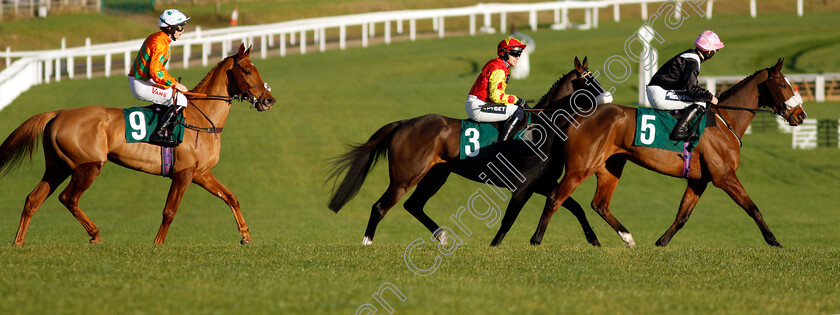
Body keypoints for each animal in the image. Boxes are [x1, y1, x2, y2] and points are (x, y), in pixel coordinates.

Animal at [0, 43, 276, 247]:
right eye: (247, 71)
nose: (268, 100)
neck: (201, 119)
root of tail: (57, 113)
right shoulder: (184, 173)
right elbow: (169, 211)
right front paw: (157, 245)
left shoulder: (201, 173)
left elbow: (231, 198)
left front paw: (246, 236)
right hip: (88, 166)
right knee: (68, 198)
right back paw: (95, 234)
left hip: (58, 167)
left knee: (33, 199)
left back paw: (18, 242)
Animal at [328, 56, 612, 246]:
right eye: (588, 81)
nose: (608, 98)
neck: (544, 127)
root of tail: (404, 123)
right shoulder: (524, 184)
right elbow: (509, 219)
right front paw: (494, 247)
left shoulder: (543, 181)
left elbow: (575, 207)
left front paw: (595, 241)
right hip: (405, 177)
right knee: (380, 206)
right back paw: (367, 243)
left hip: (436, 175)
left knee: (414, 205)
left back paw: (442, 236)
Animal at [532, 58, 808, 248]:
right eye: (783, 84)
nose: (801, 115)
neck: (725, 121)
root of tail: (576, 117)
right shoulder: (724, 176)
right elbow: (753, 208)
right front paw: (773, 240)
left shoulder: (699, 180)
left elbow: (683, 215)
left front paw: (661, 242)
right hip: (581, 167)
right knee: (556, 197)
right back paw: (537, 238)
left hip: (610, 167)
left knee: (599, 204)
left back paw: (627, 238)